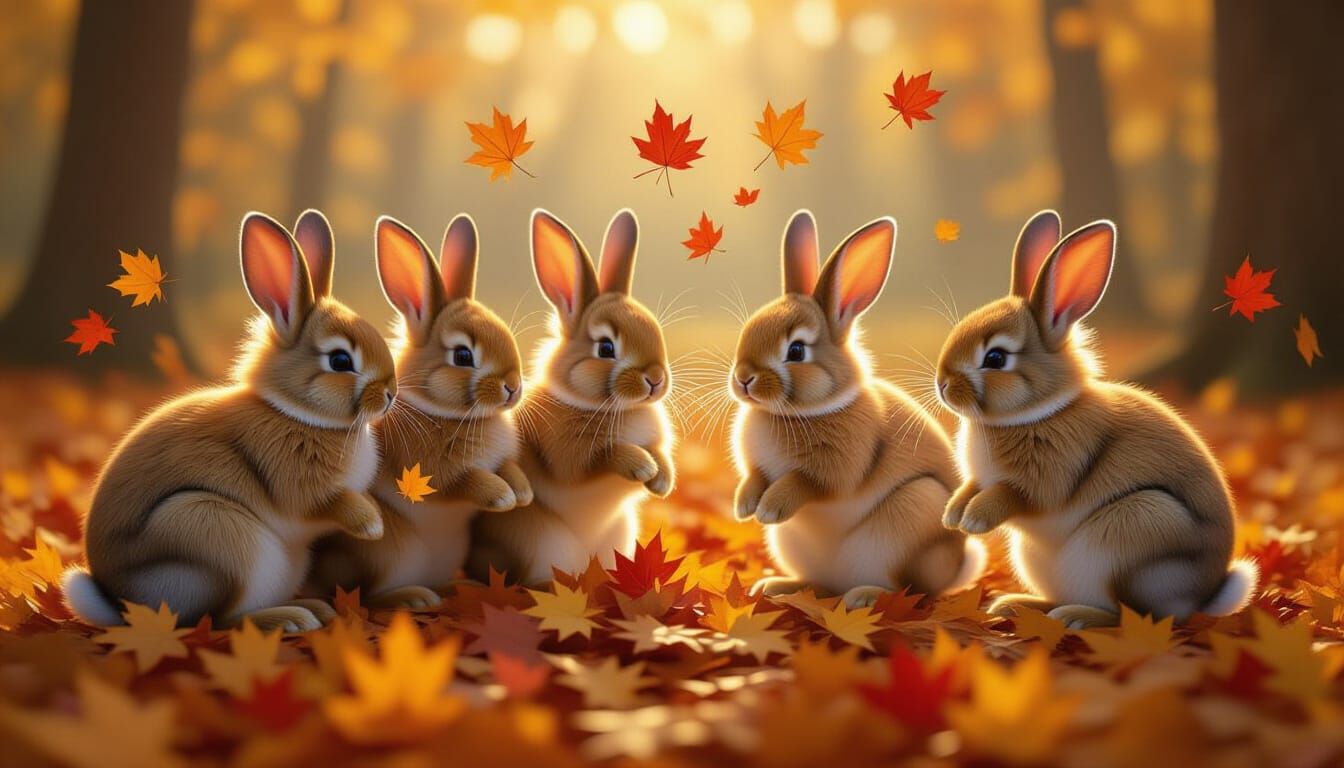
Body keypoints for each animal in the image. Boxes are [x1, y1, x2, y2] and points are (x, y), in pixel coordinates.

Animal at [60, 210, 396, 633]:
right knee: (218, 619)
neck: (295, 411)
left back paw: (312, 609)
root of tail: (122, 604)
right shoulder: (293, 475)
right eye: (340, 361)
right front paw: (373, 526)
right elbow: (324, 500)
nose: (391, 393)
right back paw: (291, 619)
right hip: (215, 535)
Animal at [307, 214, 530, 608]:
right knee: (367, 595)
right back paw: (414, 598)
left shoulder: (502, 461)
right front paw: (503, 497)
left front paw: (522, 494)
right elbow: (466, 481)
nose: (514, 387)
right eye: (463, 355)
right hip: (389, 556)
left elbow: (510, 470)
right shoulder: (432, 471)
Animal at [467, 208, 675, 585]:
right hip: (542, 542)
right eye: (606, 348)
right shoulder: (568, 452)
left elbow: (660, 454)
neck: (617, 407)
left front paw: (661, 481)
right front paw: (642, 467)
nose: (656, 379)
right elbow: (601, 456)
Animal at [729, 210, 985, 609]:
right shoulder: (757, 468)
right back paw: (778, 587)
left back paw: (865, 597)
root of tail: (957, 568)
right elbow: (755, 478)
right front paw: (744, 507)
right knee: (821, 585)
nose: (743, 379)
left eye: (796, 351)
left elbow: (807, 483)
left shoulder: (835, 467)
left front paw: (769, 508)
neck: (797, 411)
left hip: (910, 517)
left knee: (910, 590)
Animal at [935, 209, 1258, 629]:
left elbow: (1013, 495)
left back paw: (1077, 618)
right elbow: (971, 487)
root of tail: (1203, 597)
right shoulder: (980, 478)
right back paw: (1017, 605)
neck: (1034, 413)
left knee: (1132, 613)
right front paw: (952, 516)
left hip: (1134, 535)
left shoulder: (1045, 476)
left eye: (995, 358)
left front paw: (973, 521)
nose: (942, 384)